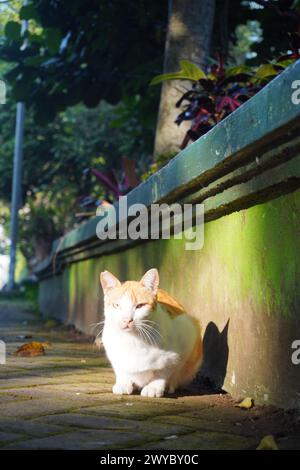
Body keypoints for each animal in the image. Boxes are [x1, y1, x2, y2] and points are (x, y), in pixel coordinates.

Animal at [99, 268, 203, 396]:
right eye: (116, 305)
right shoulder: (112, 352)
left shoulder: (186, 338)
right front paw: (124, 383)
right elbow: (121, 370)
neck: (133, 340)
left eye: (140, 306)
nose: (127, 320)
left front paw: (154, 387)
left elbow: (164, 371)